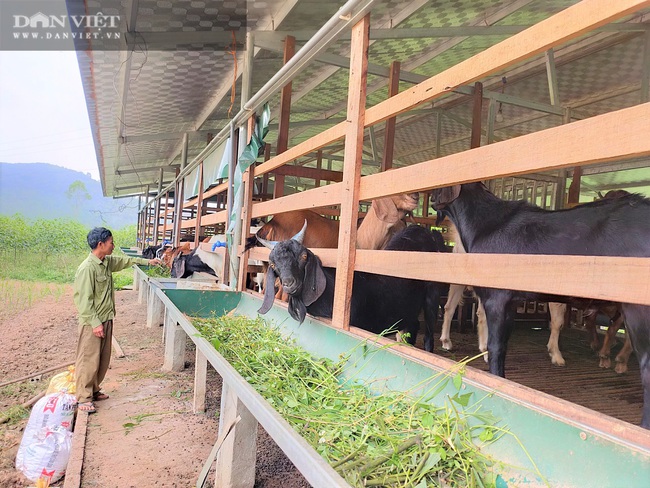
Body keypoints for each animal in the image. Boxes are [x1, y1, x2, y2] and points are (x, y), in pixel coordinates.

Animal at [256, 223, 448, 352]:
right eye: (273, 264)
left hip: (432, 294)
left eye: (303, 256)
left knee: (428, 332)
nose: (289, 283)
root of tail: (428, 233)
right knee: (413, 325)